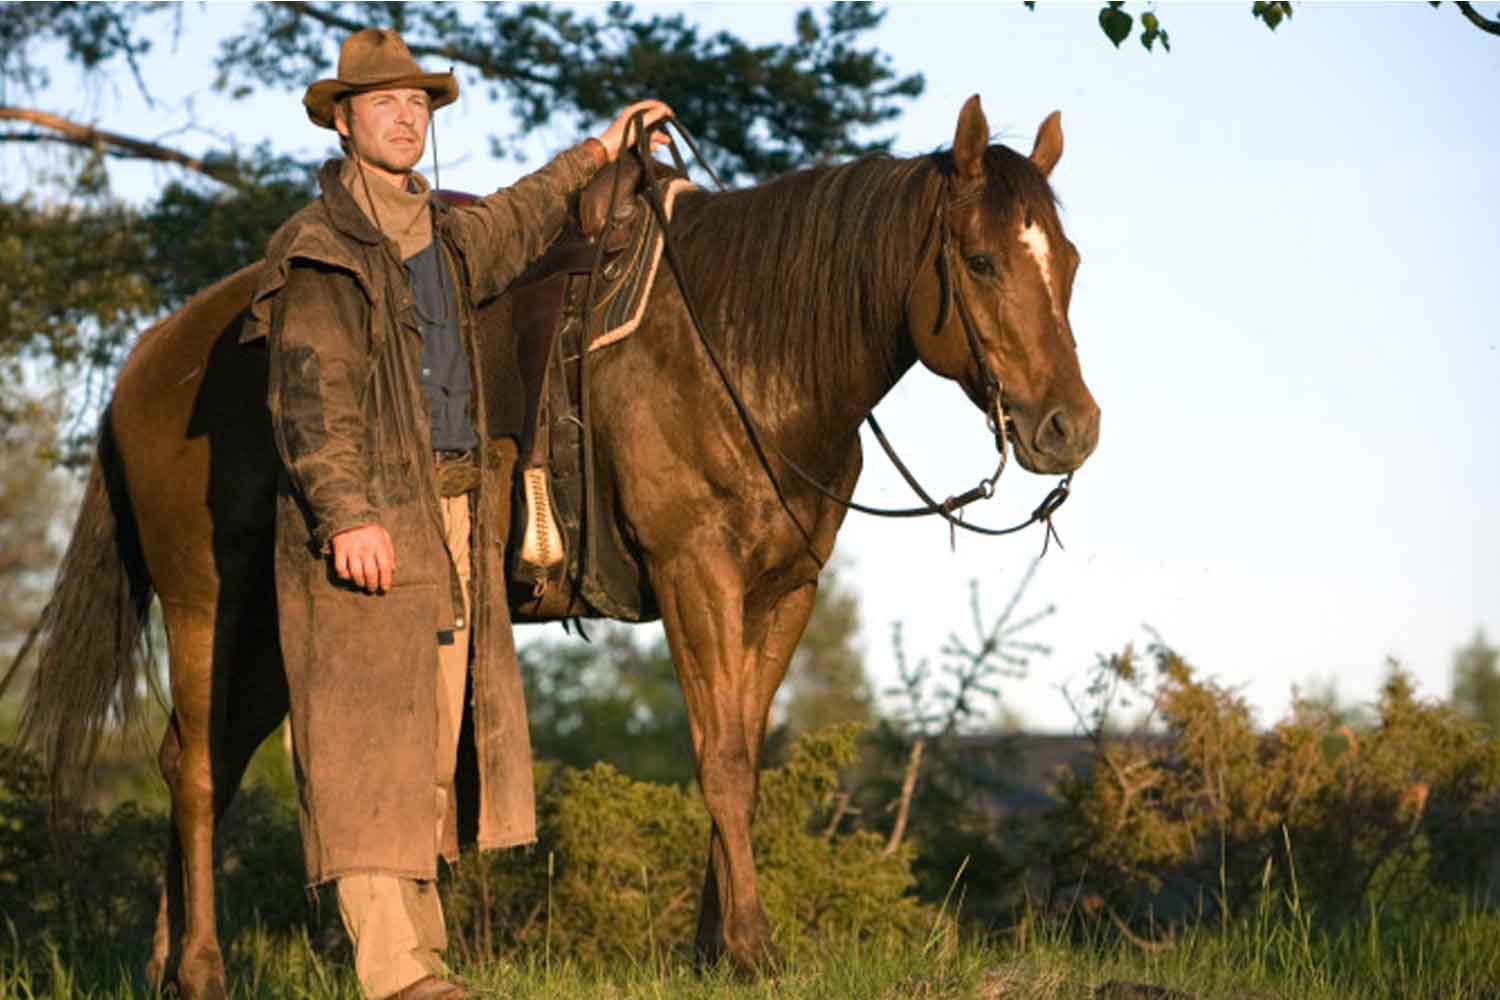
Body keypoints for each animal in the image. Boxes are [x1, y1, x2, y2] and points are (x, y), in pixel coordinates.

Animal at [5, 95, 1098, 998]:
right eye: (983, 261)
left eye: (1072, 263)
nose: (1068, 429)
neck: (742, 350)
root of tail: (151, 357)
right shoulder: (694, 573)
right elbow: (720, 759)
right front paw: (751, 949)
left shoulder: (783, 591)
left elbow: (742, 752)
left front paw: (715, 947)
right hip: (207, 605)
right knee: (195, 771)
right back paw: (200, 970)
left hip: (266, 634)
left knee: (200, 760)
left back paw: (167, 962)